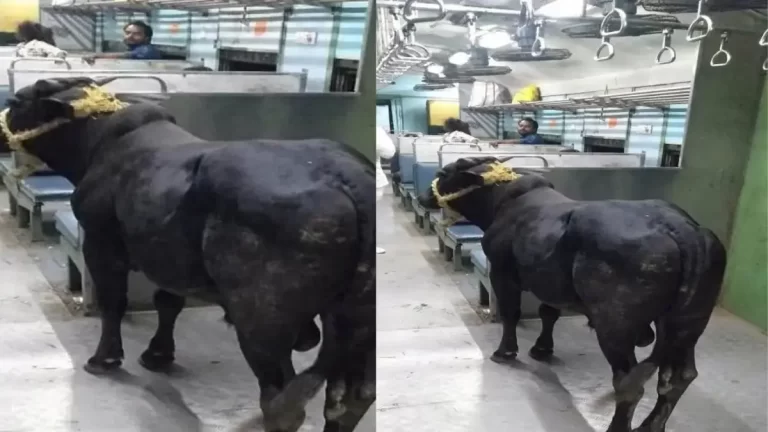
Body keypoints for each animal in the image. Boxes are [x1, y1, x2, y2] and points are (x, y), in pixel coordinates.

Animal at [0, 77, 376, 432]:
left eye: (17, 101)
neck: (100, 143)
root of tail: (347, 175)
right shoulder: (169, 258)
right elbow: (168, 302)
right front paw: (158, 354)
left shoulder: (101, 242)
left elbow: (113, 303)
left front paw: (104, 359)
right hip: (355, 324)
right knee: (350, 397)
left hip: (262, 320)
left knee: (282, 404)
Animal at [417, 156, 727, 432]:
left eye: (443, 172)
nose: (423, 196)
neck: (502, 201)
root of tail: (681, 228)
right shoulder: (550, 285)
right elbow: (548, 313)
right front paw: (542, 349)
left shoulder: (503, 274)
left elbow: (511, 314)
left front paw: (505, 352)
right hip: (687, 325)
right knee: (678, 377)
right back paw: (651, 426)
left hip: (615, 326)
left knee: (629, 383)